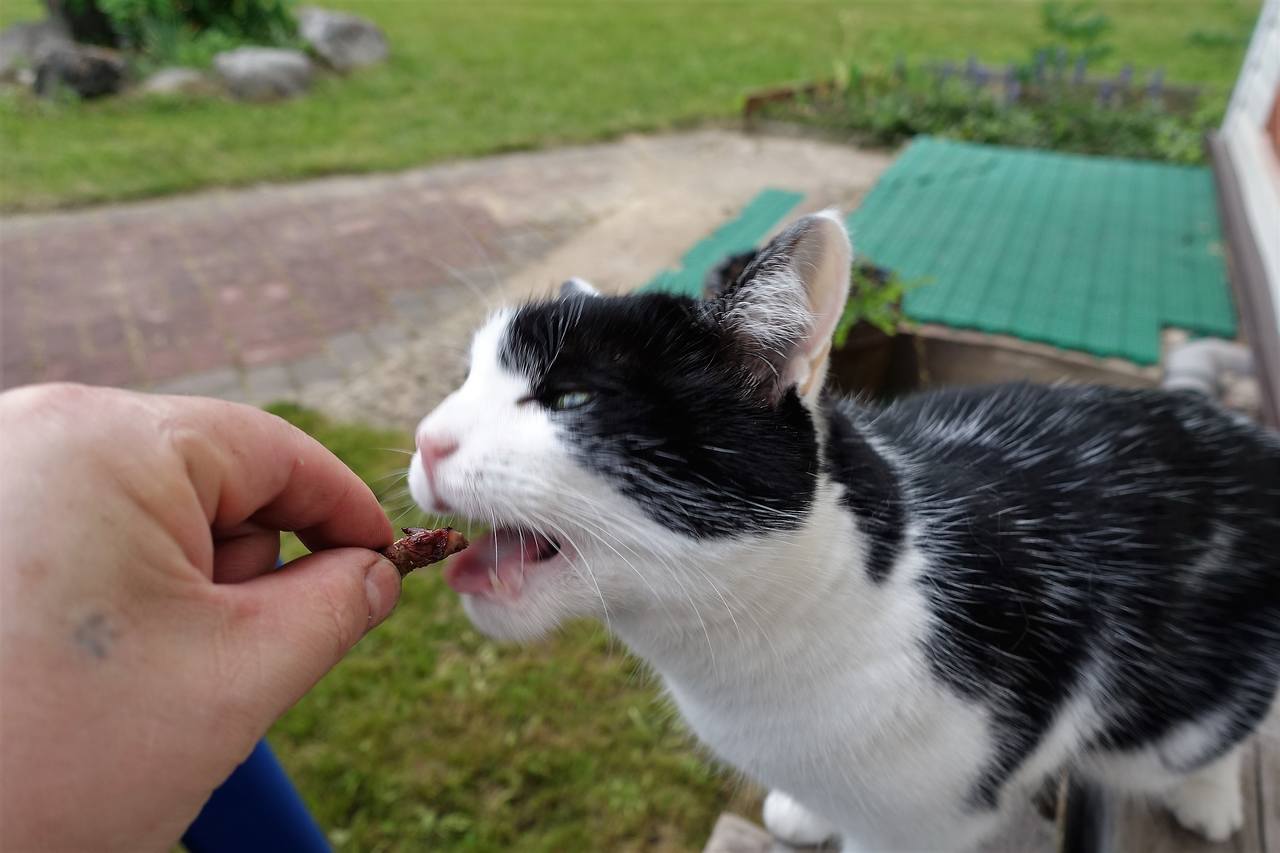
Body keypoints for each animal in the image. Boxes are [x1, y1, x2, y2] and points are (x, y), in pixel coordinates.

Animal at [407, 211, 1280, 851]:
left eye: (570, 399)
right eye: (466, 377)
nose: (425, 438)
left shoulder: (933, 814)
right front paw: (806, 808)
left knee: (1215, 729)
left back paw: (1207, 798)